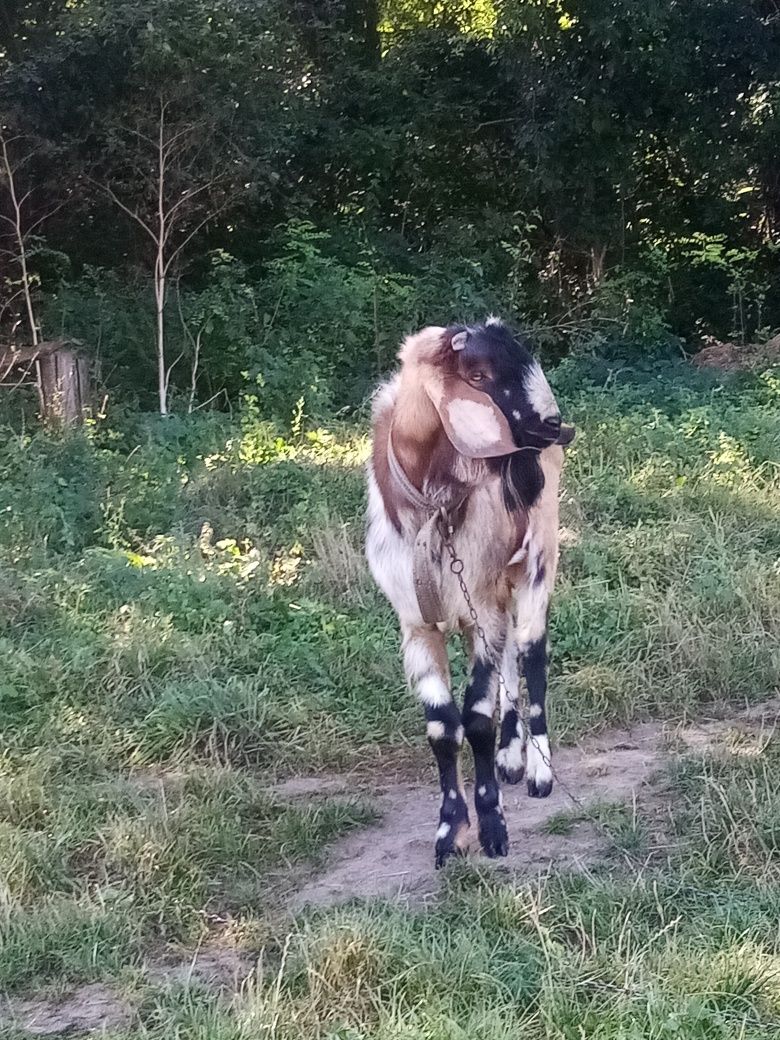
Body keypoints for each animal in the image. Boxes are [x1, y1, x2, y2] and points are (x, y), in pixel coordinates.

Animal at [366, 318, 574, 869]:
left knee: (531, 655)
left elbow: (476, 719)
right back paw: (510, 758)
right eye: (478, 375)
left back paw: (538, 770)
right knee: (509, 665)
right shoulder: (417, 624)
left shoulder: (481, 604)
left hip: (537, 560)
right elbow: (443, 727)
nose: (554, 425)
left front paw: (492, 826)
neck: (433, 505)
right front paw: (449, 832)